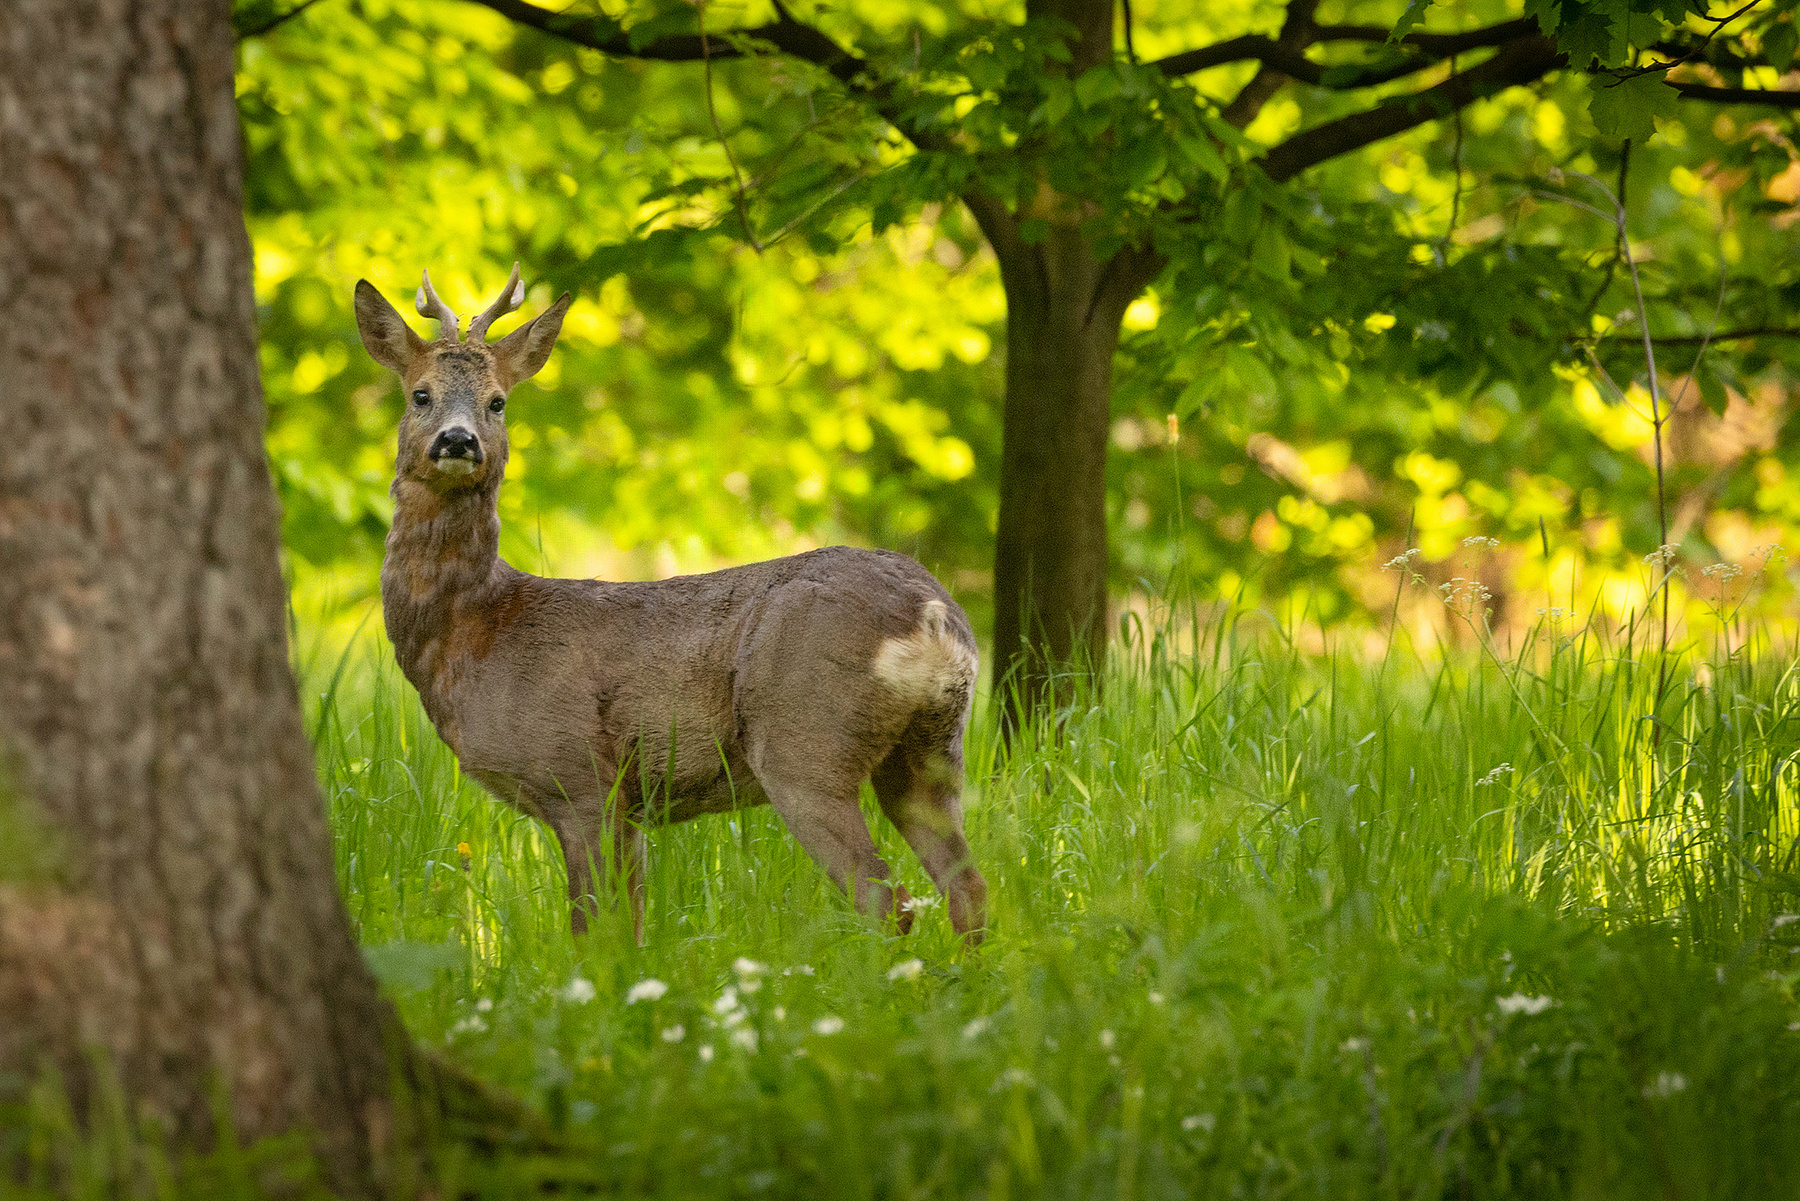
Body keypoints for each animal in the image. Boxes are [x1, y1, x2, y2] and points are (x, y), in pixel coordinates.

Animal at [352, 265, 988, 945]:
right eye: (420, 394)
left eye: (498, 401)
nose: (458, 440)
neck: (478, 630)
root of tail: (933, 617)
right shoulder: (628, 808)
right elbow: (630, 934)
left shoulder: (580, 778)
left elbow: (591, 935)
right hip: (930, 752)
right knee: (968, 891)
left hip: (806, 741)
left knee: (888, 902)